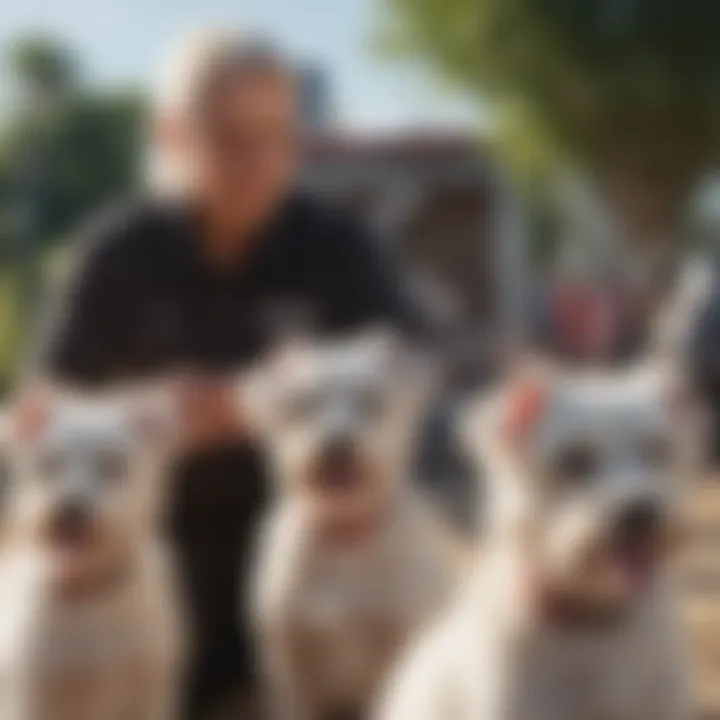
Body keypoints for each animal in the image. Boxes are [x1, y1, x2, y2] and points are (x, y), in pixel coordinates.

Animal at [0, 390, 186, 716]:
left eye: (111, 464)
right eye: (48, 463)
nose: (70, 509)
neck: (89, 594)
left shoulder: (149, 692)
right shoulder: (30, 697)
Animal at [245, 332, 464, 720]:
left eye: (371, 400)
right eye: (303, 405)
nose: (337, 445)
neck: (343, 538)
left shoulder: (396, 647)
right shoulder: (288, 658)